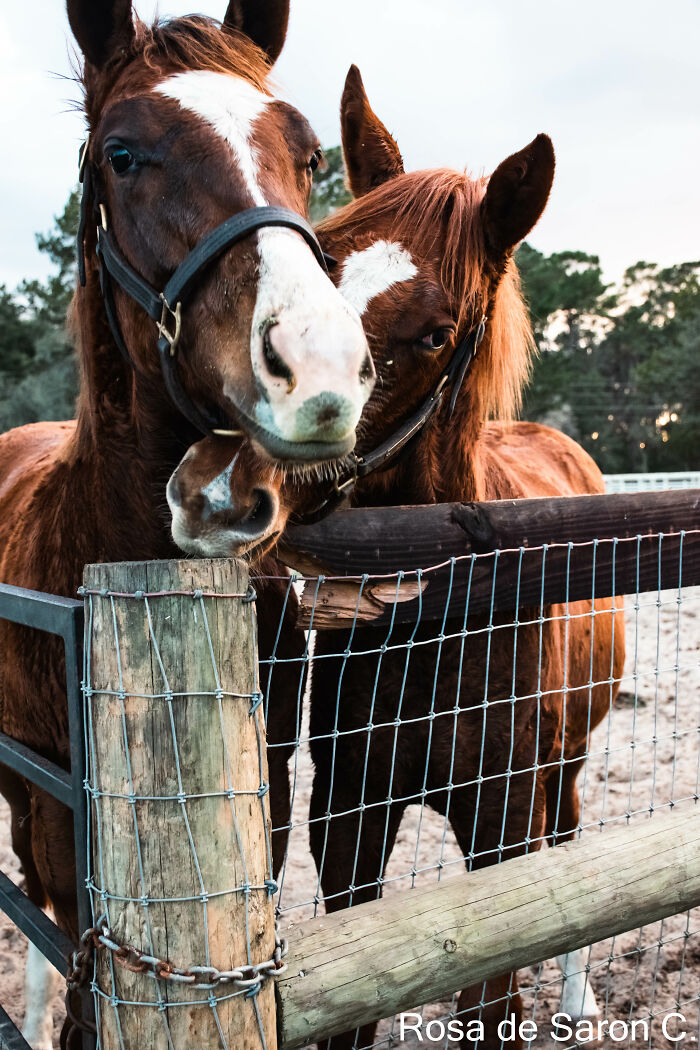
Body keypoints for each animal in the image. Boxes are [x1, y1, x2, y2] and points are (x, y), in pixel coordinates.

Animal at [0, 4, 375, 1045]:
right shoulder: (59, 808)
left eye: (310, 151)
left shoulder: (269, 793)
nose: (321, 371)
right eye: (122, 155)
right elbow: (74, 969)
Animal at [166, 67, 625, 1050]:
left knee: (571, 842)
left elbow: (494, 993)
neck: (438, 620)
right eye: (322, 267)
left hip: (564, 761)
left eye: (435, 334)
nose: (219, 485)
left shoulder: (500, 822)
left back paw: (577, 1000)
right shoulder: (349, 819)